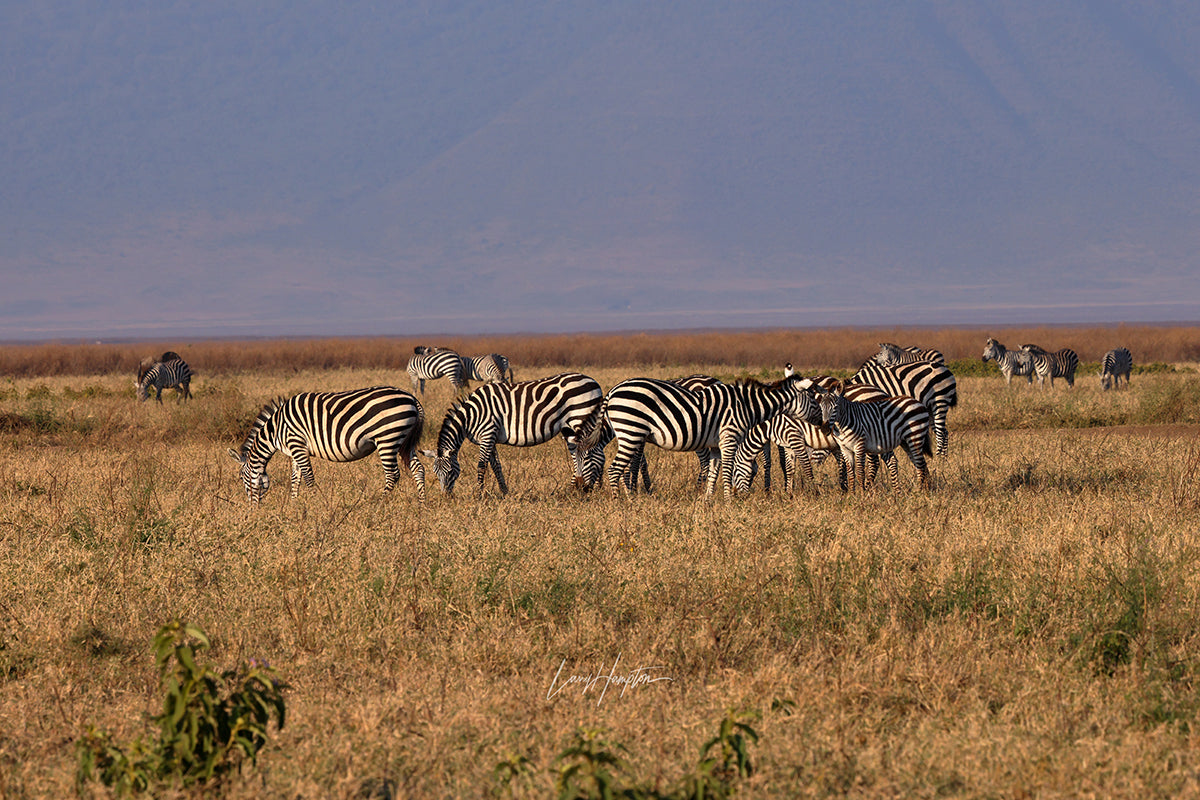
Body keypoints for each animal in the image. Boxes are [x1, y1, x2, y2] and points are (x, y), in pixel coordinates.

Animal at [227, 386, 425, 503]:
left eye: (242, 478)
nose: (252, 506)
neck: (275, 430)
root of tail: (412, 398)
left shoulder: (297, 443)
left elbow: (308, 477)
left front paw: (316, 504)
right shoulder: (294, 449)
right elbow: (295, 478)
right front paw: (294, 503)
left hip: (387, 438)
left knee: (393, 474)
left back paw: (378, 502)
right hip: (404, 441)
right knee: (418, 468)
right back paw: (422, 503)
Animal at [419, 373, 603, 497]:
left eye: (450, 471)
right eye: (436, 472)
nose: (446, 497)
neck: (471, 416)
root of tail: (593, 381)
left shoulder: (488, 432)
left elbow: (481, 465)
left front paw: (479, 494)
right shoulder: (490, 438)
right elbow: (496, 466)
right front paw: (504, 491)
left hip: (580, 417)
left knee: (592, 453)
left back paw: (591, 488)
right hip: (569, 427)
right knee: (582, 454)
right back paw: (577, 488)